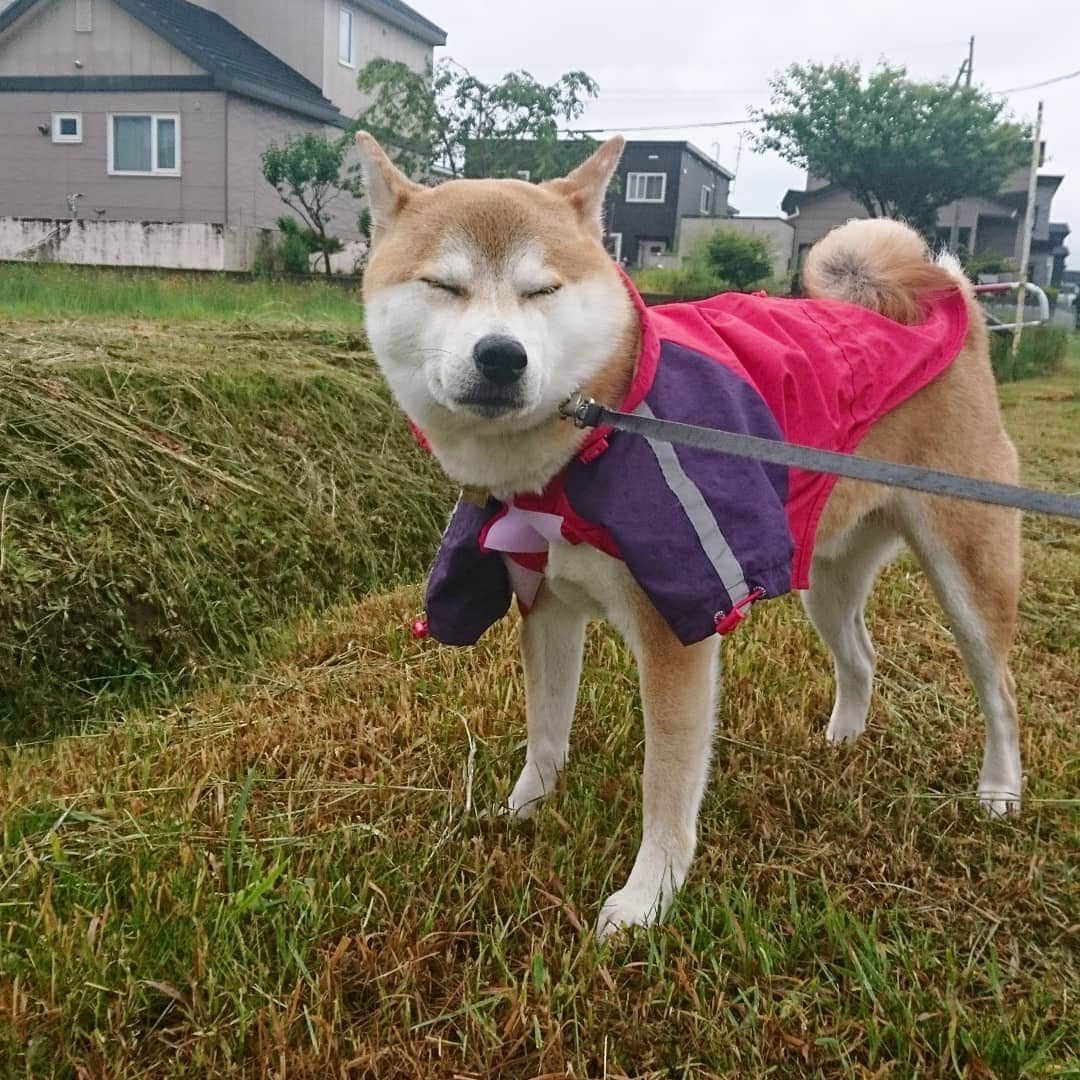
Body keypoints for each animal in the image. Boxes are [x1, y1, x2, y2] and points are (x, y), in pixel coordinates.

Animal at [358, 132, 1023, 937]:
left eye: (544, 290)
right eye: (442, 285)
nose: (501, 355)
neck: (595, 435)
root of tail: (954, 307)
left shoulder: (678, 625)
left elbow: (667, 779)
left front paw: (648, 898)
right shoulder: (546, 605)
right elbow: (545, 732)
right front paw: (521, 811)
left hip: (968, 571)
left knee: (1000, 689)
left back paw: (1000, 793)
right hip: (826, 574)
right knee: (861, 656)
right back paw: (841, 742)